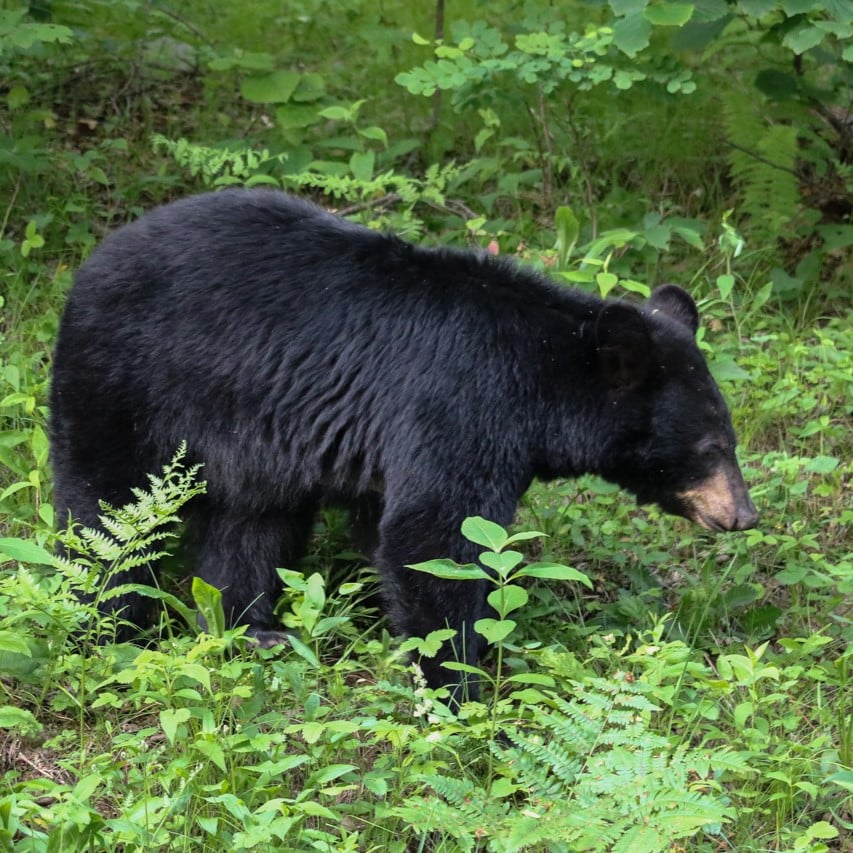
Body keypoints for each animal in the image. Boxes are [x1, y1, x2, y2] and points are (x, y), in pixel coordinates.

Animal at [51, 190, 760, 696]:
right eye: (710, 447)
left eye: (728, 439)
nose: (744, 514)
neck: (544, 377)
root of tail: (94, 258)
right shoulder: (461, 403)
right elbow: (434, 537)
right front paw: (460, 684)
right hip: (128, 378)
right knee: (107, 511)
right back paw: (106, 627)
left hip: (252, 436)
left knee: (249, 525)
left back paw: (252, 630)